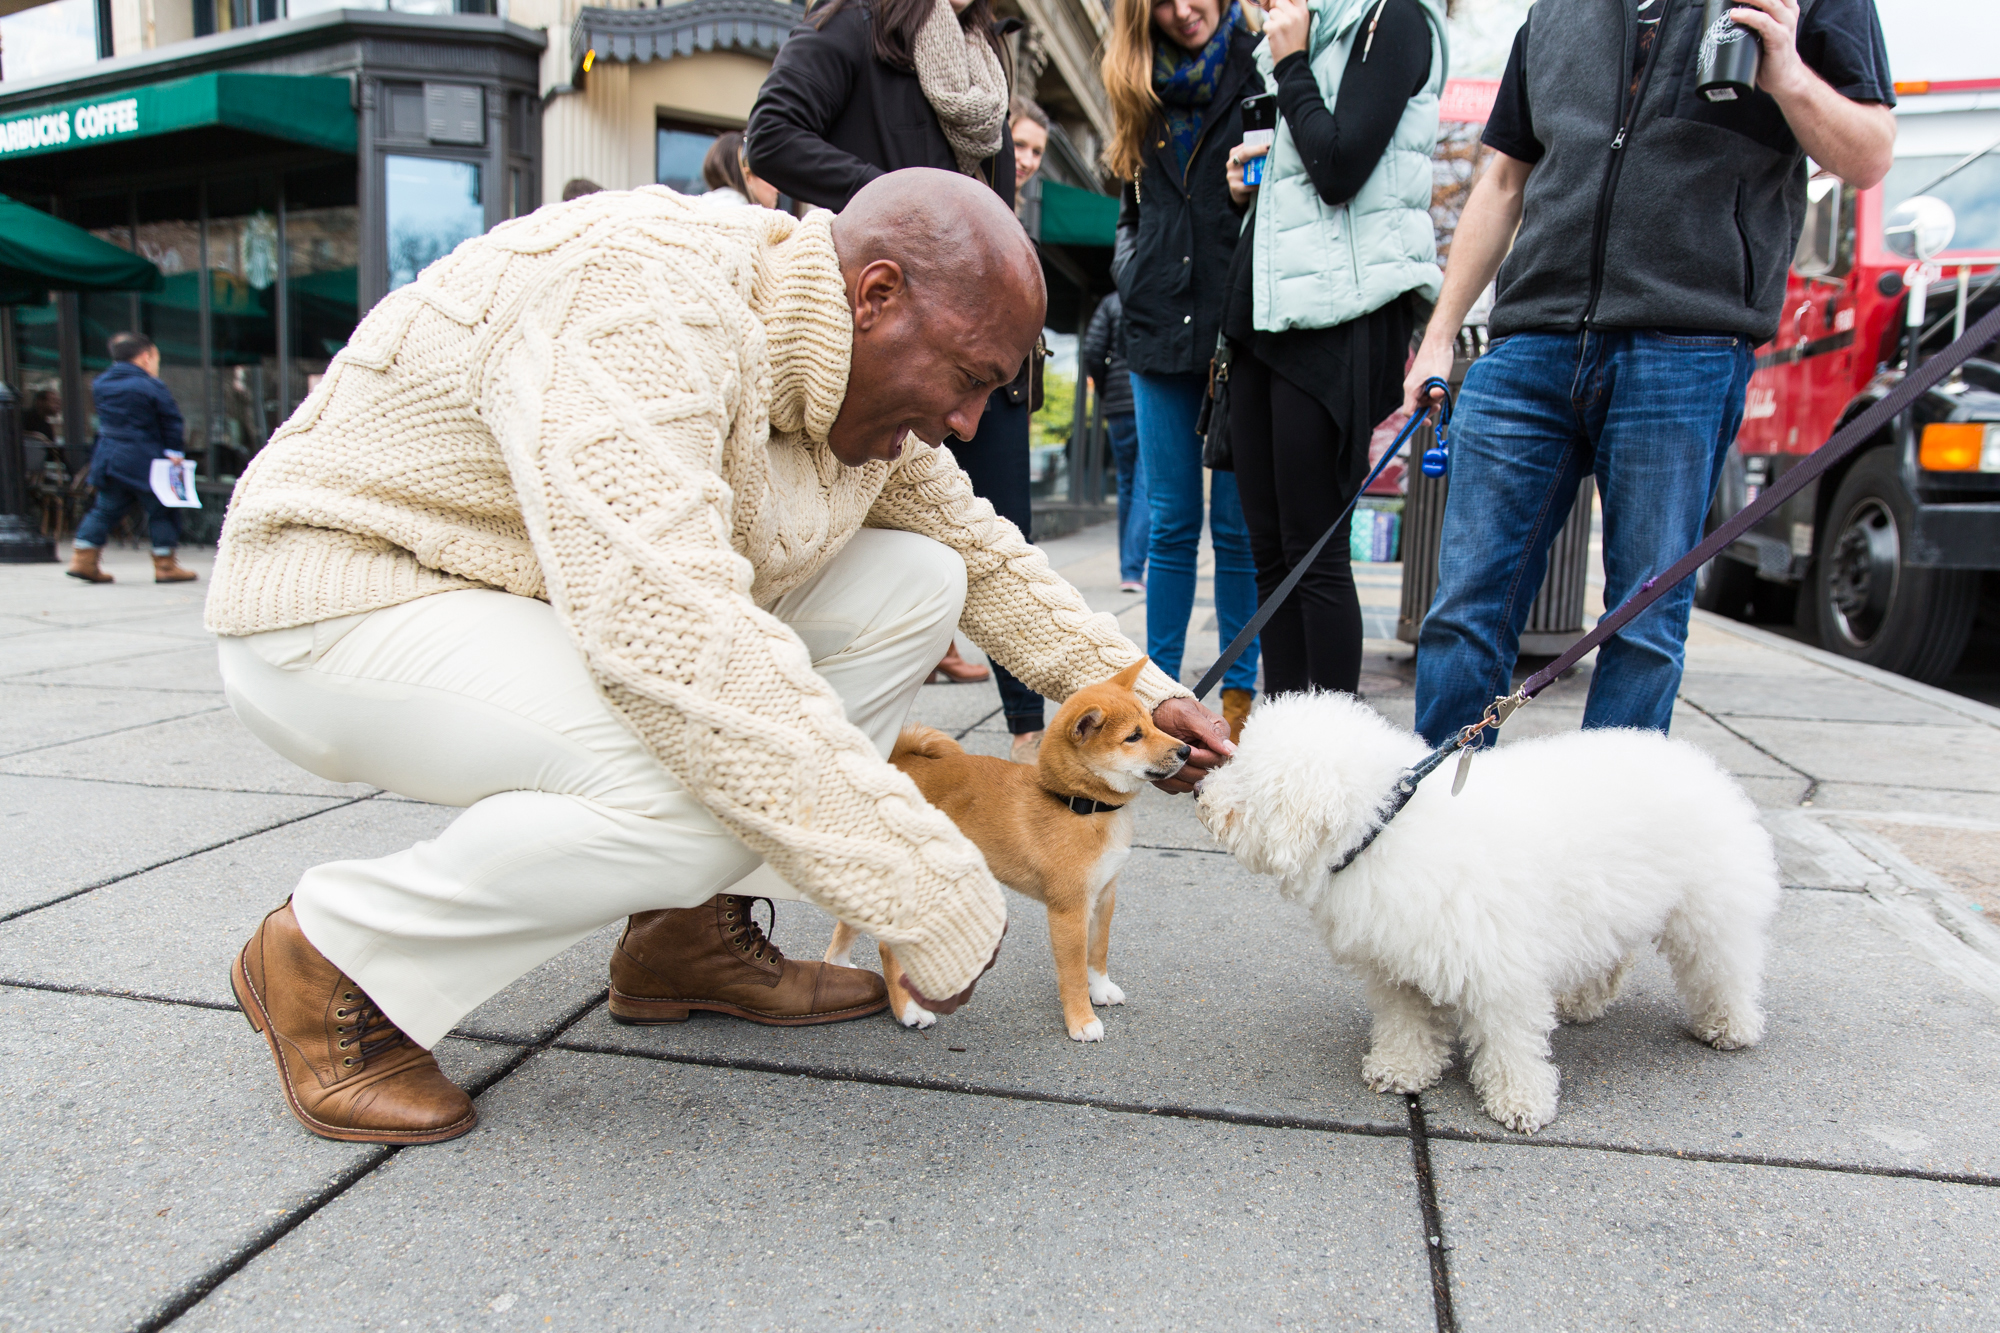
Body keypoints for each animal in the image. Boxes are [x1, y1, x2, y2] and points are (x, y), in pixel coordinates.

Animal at [1200, 684, 1784, 1128]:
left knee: (1725, 968)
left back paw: (1730, 1026)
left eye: (1244, 778)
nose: (1201, 794)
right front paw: (1401, 1068)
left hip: (1709, 912)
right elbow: (1406, 1023)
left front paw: (1521, 1100)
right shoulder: (1399, 967)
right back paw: (1583, 1001)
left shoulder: (1502, 970)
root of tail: (1697, 761)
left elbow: (1509, 1042)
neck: (1386, 826)